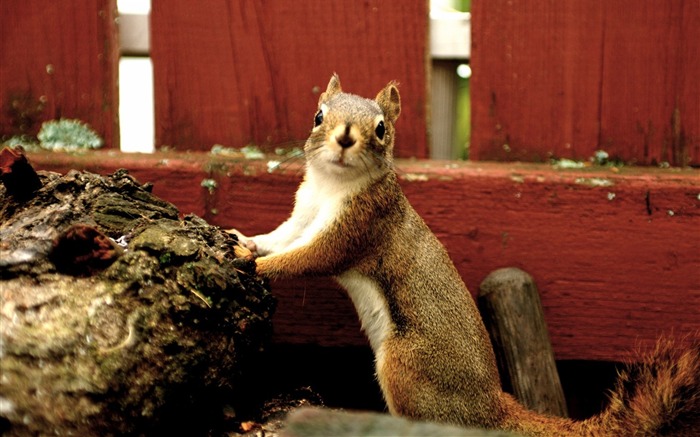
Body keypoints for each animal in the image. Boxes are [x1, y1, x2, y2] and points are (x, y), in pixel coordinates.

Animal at [237, 73, 700, 434]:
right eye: (318, 115)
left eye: (382, 128)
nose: (346, 136)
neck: (332, 186)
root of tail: (493, 409)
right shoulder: (304, 216)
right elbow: (282, 237)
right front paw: (244, 239)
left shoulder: (359, 228)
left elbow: (308, 258)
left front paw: (256, 264)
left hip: (405, 366)